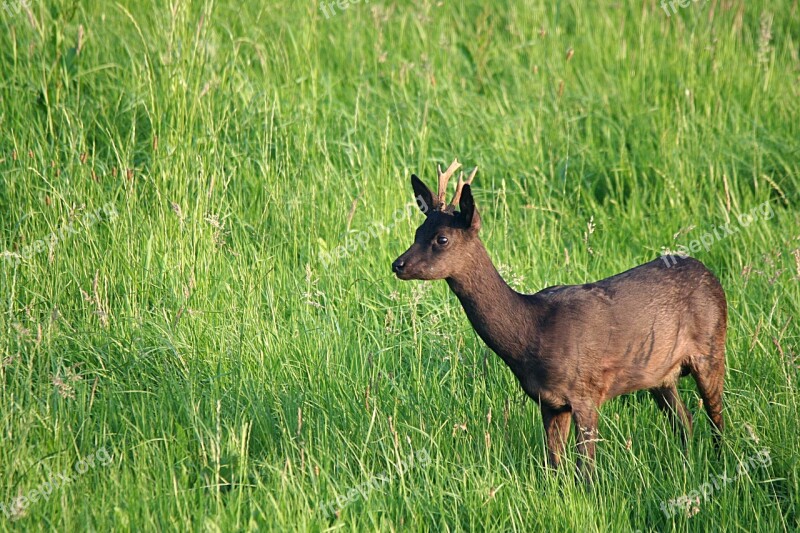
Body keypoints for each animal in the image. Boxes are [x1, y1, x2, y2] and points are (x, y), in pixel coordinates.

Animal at [390, 159, 728, 478]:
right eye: (417, 232)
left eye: (442, 239)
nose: (398, 264)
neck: (532, 332)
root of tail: (711, 274)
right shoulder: (550, 402)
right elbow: (553, 465)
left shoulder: (586, 391)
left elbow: (585, 470)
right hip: (660, 375)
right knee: (684, 422)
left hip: (712, 346)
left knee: (717, 419)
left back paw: (720, 462)